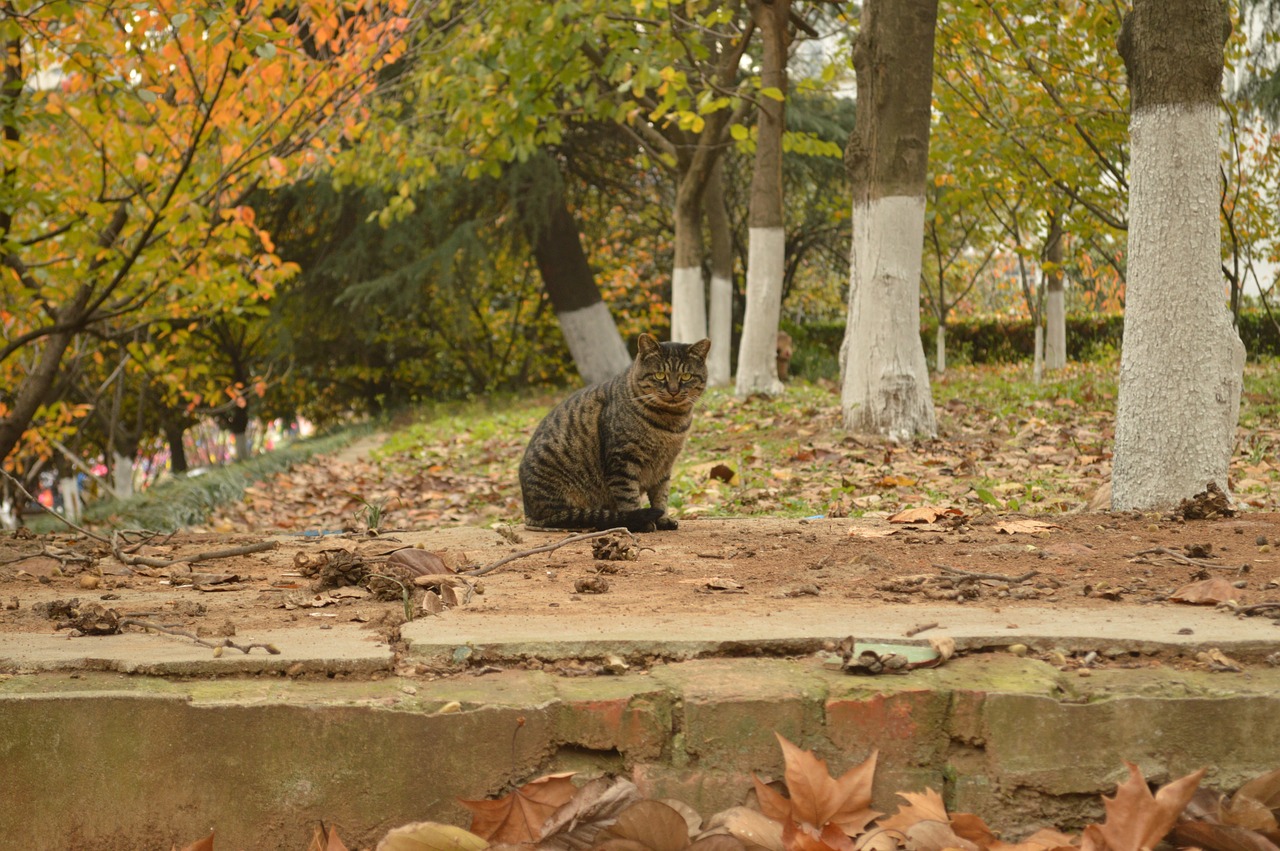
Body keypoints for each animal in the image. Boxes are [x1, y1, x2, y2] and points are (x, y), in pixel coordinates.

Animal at [524, 332, 716, 527]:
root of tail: (529, 513)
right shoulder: (622, 460)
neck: (670, 422)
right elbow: (629, 497)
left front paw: (663, 518)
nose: (673, 391)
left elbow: (661, 495)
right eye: (660, 375)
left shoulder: (664, 466)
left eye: (686, 376)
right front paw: (641, 522)